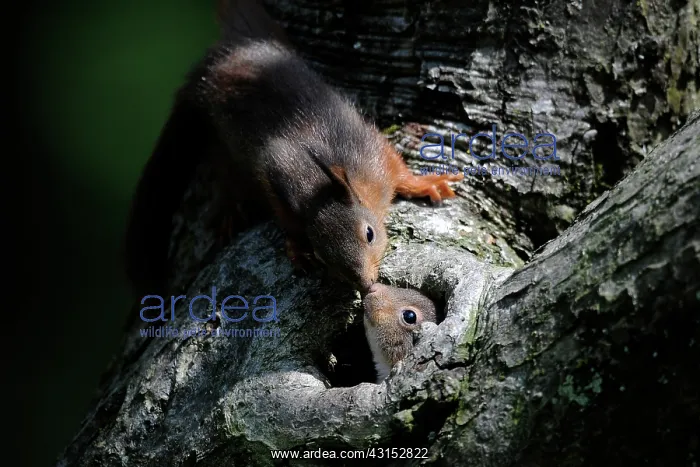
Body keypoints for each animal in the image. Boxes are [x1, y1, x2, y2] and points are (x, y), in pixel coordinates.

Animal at [124, 0, 463, 297]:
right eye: (322, 254)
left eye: (369, 233)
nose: (366, 285)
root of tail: (216, 65)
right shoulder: (275, 176)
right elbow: (284, 215)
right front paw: (296, 247)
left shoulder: (373, 152)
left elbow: (399, 169)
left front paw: (426, 183)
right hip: (219, 141)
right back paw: (230, 208)